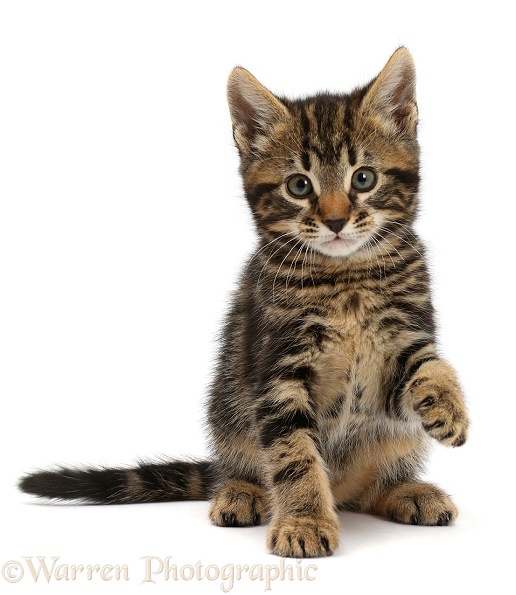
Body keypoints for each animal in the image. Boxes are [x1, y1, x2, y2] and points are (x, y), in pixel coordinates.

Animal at [19, 50, 468, 560]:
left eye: (364, 178)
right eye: (299, 186)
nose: (335, 220)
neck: (345, 278)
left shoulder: (399, 341)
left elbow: (429, 365)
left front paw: (450, 406)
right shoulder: (277, 369)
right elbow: (294, 454)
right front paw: (304, 519)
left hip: (391, 441)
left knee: (371, 484)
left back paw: (407, 490)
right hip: (229, 410)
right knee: (243, 467)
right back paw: (241, 492)